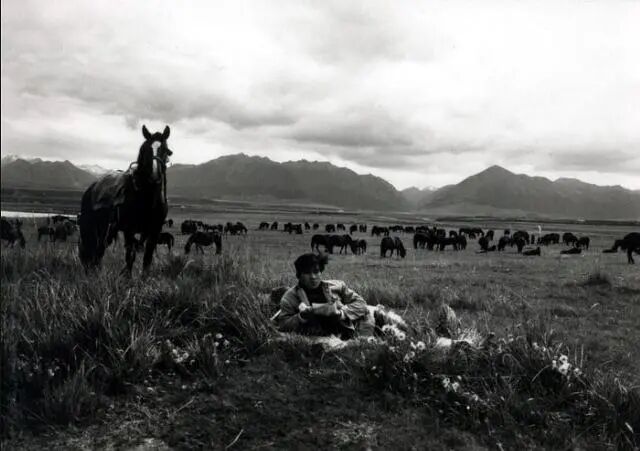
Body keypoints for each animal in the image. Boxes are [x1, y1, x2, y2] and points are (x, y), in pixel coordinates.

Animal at [78, 125, 172, 275]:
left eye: (166, 151)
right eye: (146, 149)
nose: (154, 176)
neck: (147, 198)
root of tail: (92, 188)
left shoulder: (154, 231)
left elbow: (147, 260)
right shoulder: (129, 230)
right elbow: (130, 258)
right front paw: (126, 278)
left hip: (108, 230)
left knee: (99, 252)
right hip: (97, 227)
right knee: (95, 251)